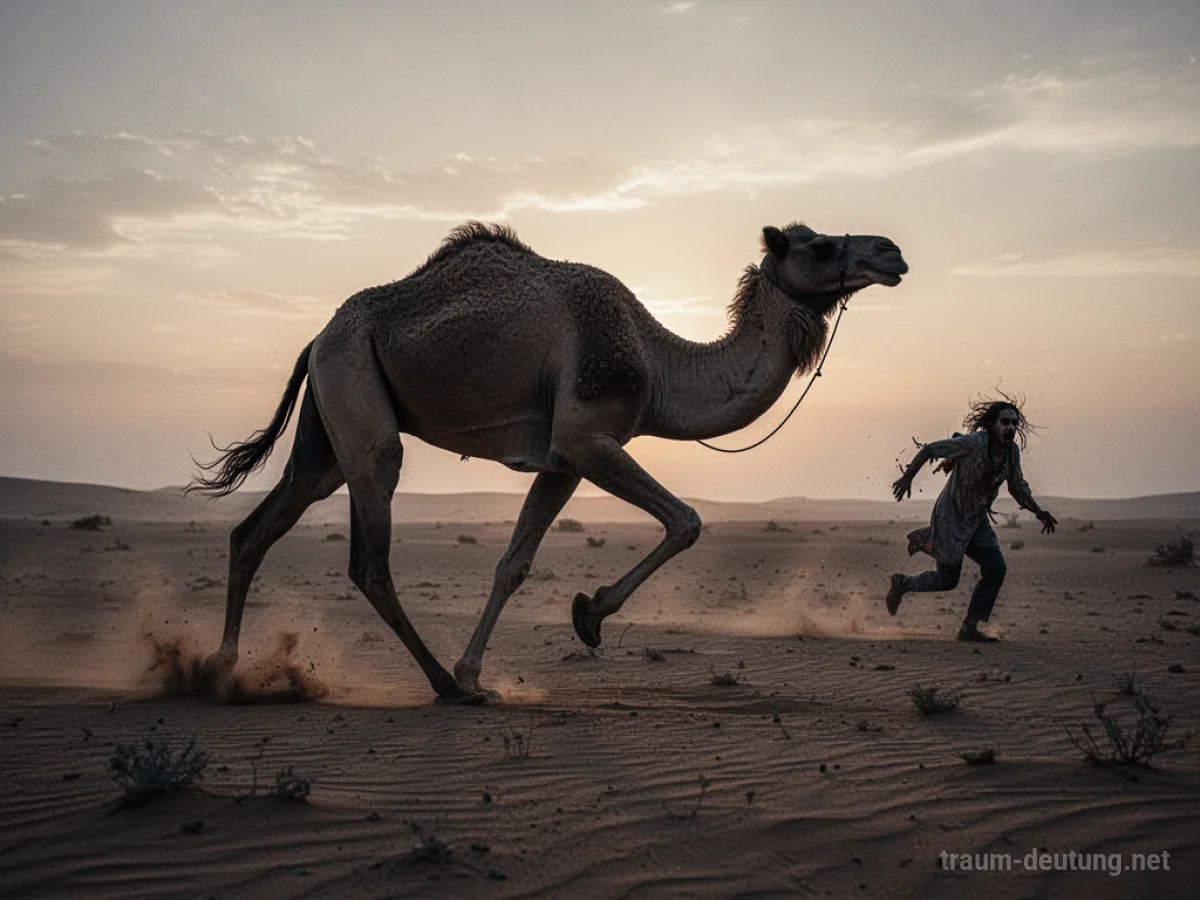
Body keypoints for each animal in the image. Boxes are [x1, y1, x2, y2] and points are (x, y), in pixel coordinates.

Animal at [191, 220, 908, 702]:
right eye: (819, 245)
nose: (892, 252)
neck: (656, 361)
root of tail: (317, 336)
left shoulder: (563, 459)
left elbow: (513, 563)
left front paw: (482, 666)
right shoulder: (590, 433)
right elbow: (686, 520)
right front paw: (587, 617)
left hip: (328, 419)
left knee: (260, 524)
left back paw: (218, 669)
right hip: (355, 391)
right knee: (369, 554)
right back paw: (441, 687)